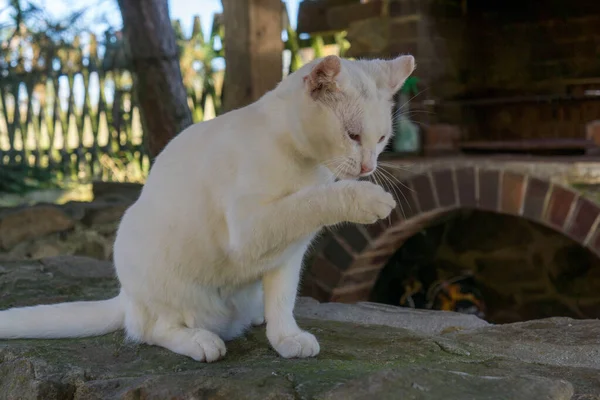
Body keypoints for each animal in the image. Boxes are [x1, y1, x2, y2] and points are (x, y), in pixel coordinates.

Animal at [0, 54, 412, 362]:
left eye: (381, 139)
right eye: (352, 135)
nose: (369, 167)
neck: (309, 166)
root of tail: (126, 297)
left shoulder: (287, 253)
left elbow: (283, 298)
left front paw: (285, 338)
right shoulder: (251, 230)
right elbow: (312, 202)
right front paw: (369, 199)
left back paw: (255, 318)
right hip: (146, 259)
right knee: (149, 329)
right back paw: (200, 341)